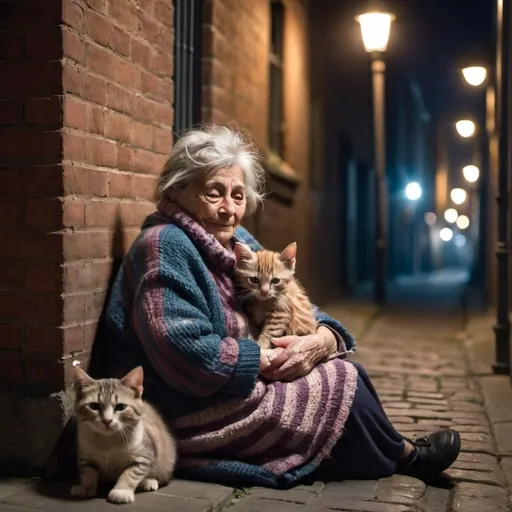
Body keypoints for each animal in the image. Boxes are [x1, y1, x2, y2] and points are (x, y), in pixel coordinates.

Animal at [70, 366, 176, 506]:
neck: (107, 441)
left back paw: (149, 481)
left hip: (165, 460)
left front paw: (121, 492)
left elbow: (130, 473)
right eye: (93, 406)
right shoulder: (85, 454)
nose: (107, 420)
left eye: (120, 407)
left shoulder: (143, 456)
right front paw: (85, 487)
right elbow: (88, 472)